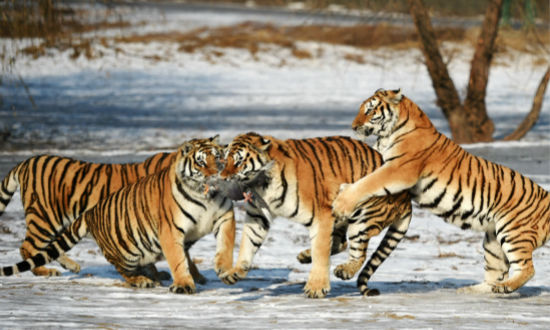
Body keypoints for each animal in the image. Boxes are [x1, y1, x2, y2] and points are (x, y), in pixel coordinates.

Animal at [0, 151, 177, 278]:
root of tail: (26, 162)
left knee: (51, 246)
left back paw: (71, 266)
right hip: (44, 218)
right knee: (28, 247)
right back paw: (45, 271)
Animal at [218, 132, 412, 300]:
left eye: (239, 161)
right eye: (225, 160)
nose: (222, 178)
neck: (263, 185)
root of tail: (407, 198)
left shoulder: (322, 215)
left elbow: (321, 250)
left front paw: (316, 288)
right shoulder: (257, 215)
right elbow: (248, 242)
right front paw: (235, 272)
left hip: (362, 218)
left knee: (358, 254)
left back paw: (343, 271)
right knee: (341, 243)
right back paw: (305, 256)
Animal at [332, 89, 550, 296]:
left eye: (369, 111)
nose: (353, 127)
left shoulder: (399, 170)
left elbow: (368, 182)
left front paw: (342, 201)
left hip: (513, 232)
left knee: (527, 268)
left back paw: (505, 287)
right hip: (493, 240)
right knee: (496, 273)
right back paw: (472, 290)